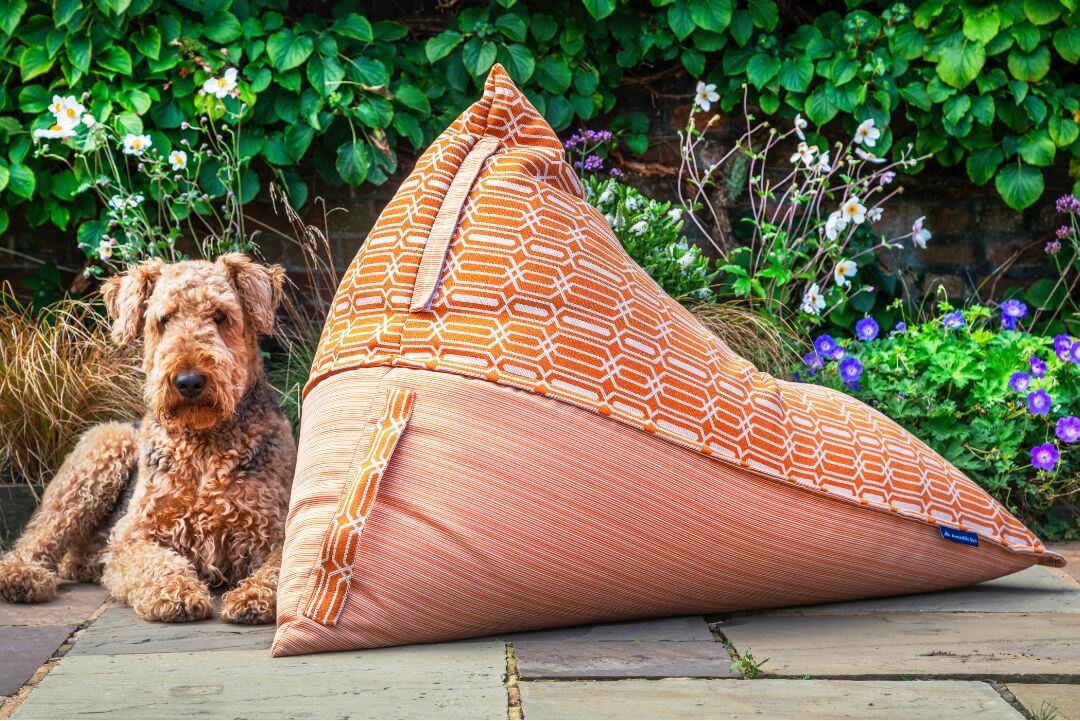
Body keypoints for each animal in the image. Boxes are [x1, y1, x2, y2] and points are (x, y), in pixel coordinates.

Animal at [0, 255, 295, 621]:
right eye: (163, 319)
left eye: (219, 315)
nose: (188, 382)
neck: (203, 443)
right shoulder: (134, 536)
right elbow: (159, 564)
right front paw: (178, 594)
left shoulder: (275, 532)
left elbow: (280, 569)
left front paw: (253, 596)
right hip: (101, 455)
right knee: (36, 540)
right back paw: (22, 577)